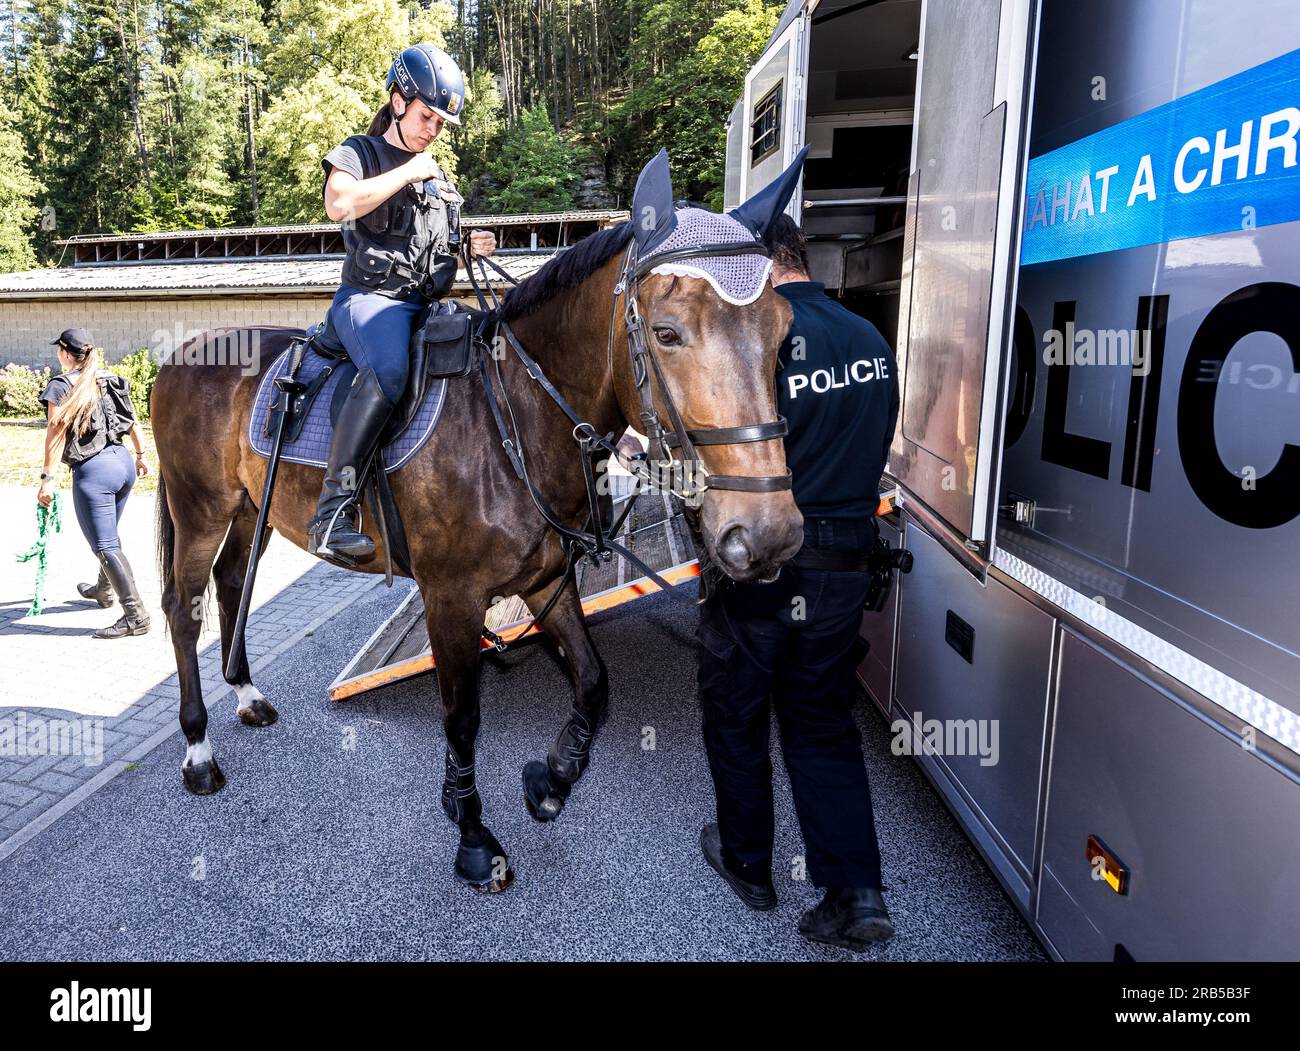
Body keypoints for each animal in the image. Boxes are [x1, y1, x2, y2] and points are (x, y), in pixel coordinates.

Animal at [149, 149, 800, 884]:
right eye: (667, 332)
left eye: (781, 333)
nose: (769, 533)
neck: (513, 420)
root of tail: (181, 353)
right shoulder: (451, 600)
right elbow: (462, 719)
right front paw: (472, 834)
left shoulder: (547, 582)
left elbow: (593, 683)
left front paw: (551, 779)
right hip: (198, 508)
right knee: (184, 608)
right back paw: (198, 749)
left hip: (243, 509)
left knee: (232, 582)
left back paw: (246, 695)